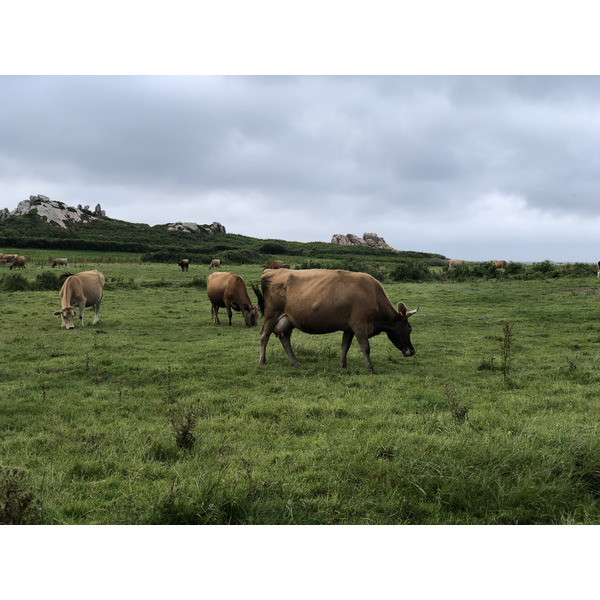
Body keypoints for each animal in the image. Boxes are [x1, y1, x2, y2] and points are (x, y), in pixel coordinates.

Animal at [255, 268, 420, 372]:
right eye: (409, 328)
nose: (412, 350)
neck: (372, 295)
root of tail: (272, 271)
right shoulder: (359, 325)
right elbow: (365, 347)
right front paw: (371, 368)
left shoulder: (349, 328)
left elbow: (344, 346)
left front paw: (343, 365)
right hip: (271, 315)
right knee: (264, 335)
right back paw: (262, 361)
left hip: (288, 321)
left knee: (285, 339)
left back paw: (294, 362)